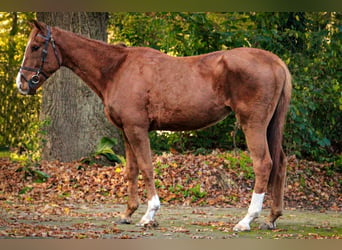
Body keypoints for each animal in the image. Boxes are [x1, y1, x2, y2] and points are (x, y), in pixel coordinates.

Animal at [17, 20, 292, 231]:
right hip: (271, 125)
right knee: (279, 162)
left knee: (263, 164)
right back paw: (271, 218)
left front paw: (149, 215)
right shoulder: (125, 131)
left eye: (36, 46)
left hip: (253, 124)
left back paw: (246, 220)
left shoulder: (137, 129)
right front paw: (127, 213)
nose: (22, 84)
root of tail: (276, 62)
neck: (117, 69)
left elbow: (147, 168)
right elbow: (131, 170)